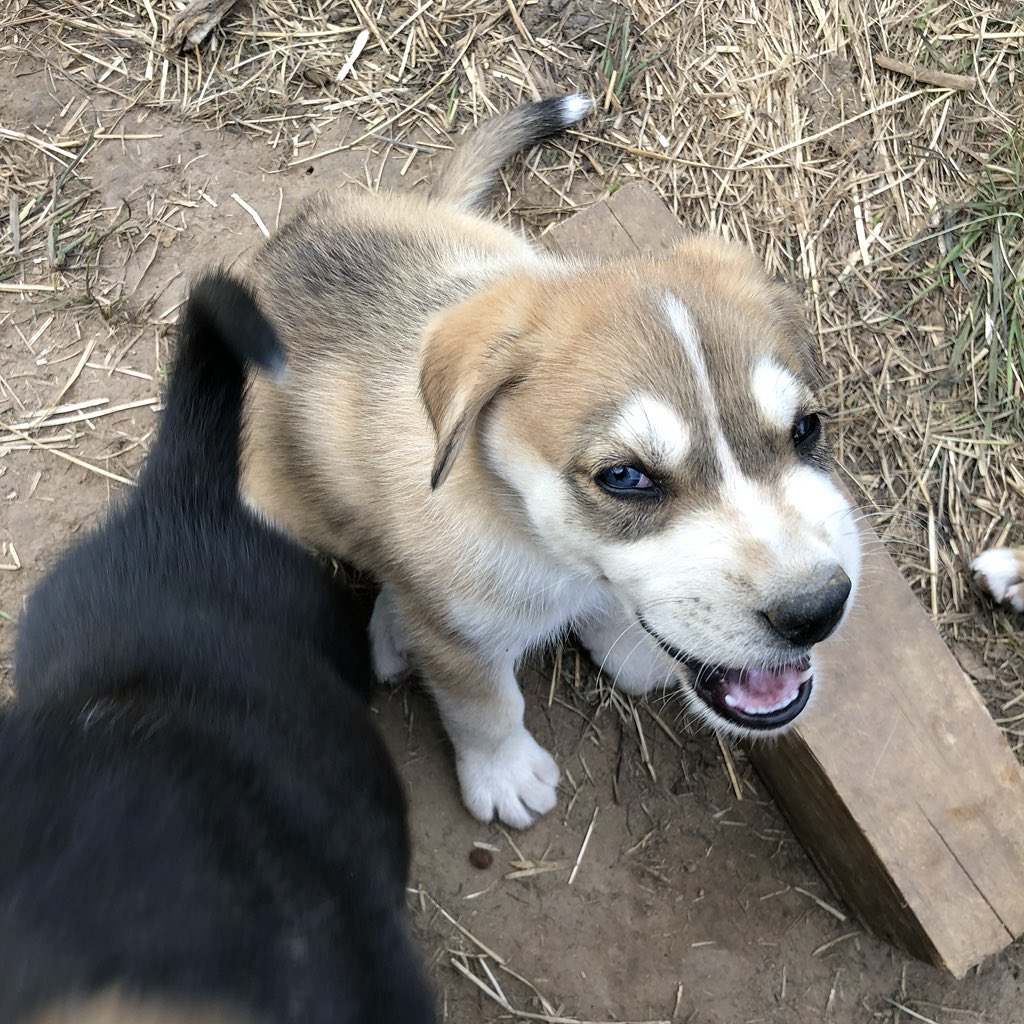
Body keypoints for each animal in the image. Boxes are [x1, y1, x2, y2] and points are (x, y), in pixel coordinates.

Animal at [239, 96, 864, 831]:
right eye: (626, 477)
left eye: (806, 428)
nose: (817, 611)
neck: (534, 540)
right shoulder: (462, 649)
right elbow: (485, 708)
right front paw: (504, 774)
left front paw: (625, 643)